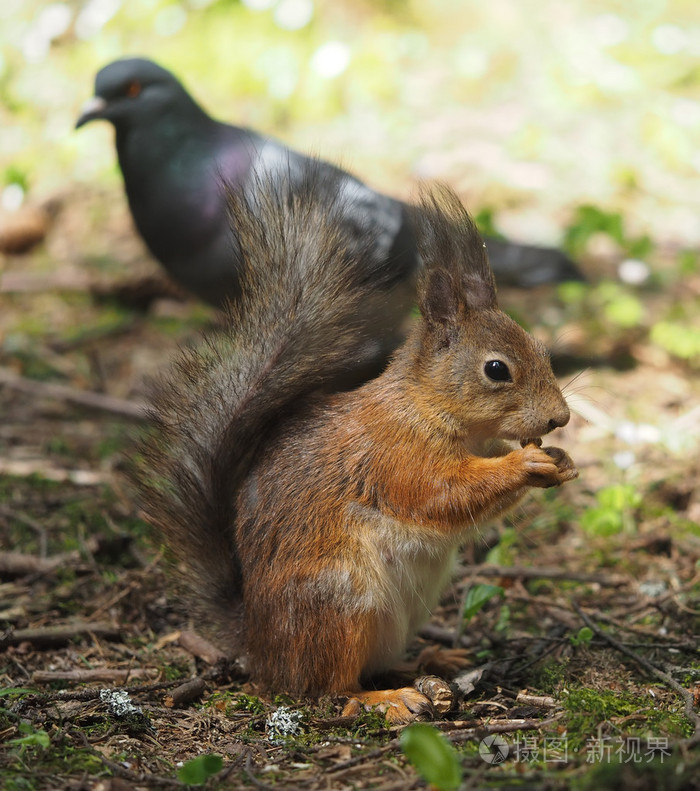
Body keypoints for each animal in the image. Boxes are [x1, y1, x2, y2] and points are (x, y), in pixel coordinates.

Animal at [138, 173, 580, 724]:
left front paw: (560, 461)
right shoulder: (394, 455)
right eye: (497, 369)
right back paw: (384, 699)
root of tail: (260, 648)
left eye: (542, 350)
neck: (428, 407)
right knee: (326, 689)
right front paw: (526, 461)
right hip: (340, 604)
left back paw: (433, 659)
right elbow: (442, 495)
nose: (559, 419)